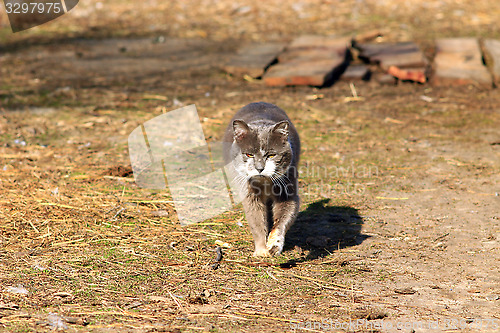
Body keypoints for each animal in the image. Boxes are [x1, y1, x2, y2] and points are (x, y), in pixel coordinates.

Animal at [224, 102, 300, 256]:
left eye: (271, 155)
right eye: (249, 154)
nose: (259, 168)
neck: (264, 183)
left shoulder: (288, 190)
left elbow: (283, 219)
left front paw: (274, 245)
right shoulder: (250, 195)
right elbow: (256, 221)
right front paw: (261, 251)